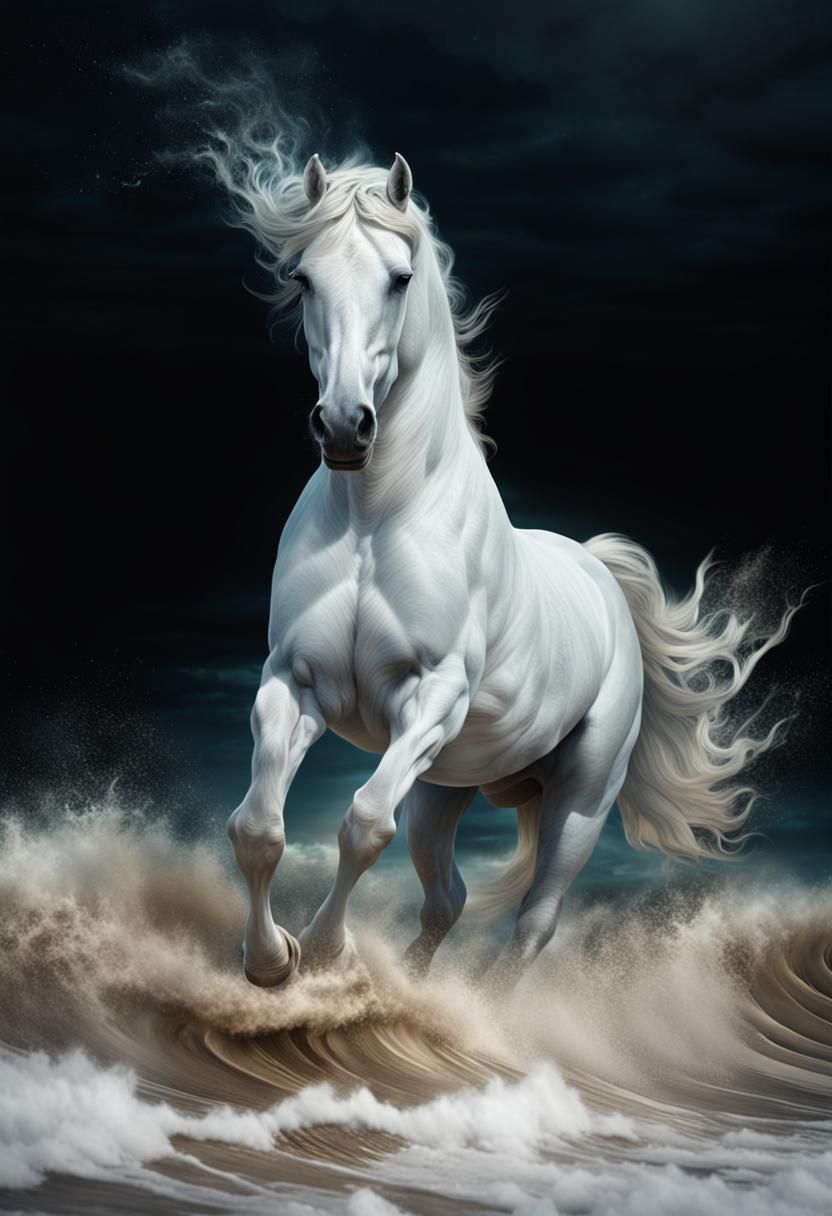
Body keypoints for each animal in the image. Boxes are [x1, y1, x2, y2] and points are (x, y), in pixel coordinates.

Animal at [220, 149, 799, 989]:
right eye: (302, 279)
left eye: (400, 277)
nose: (344, 426)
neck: (373, 523)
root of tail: (598, 573)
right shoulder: (291, 683)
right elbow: (259, 827)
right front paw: (272, 962)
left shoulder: (434, 697)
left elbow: (362, 822)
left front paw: (326, 954)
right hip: (444, 788)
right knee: (447, 900)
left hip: (581, 799)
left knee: (534, 921)